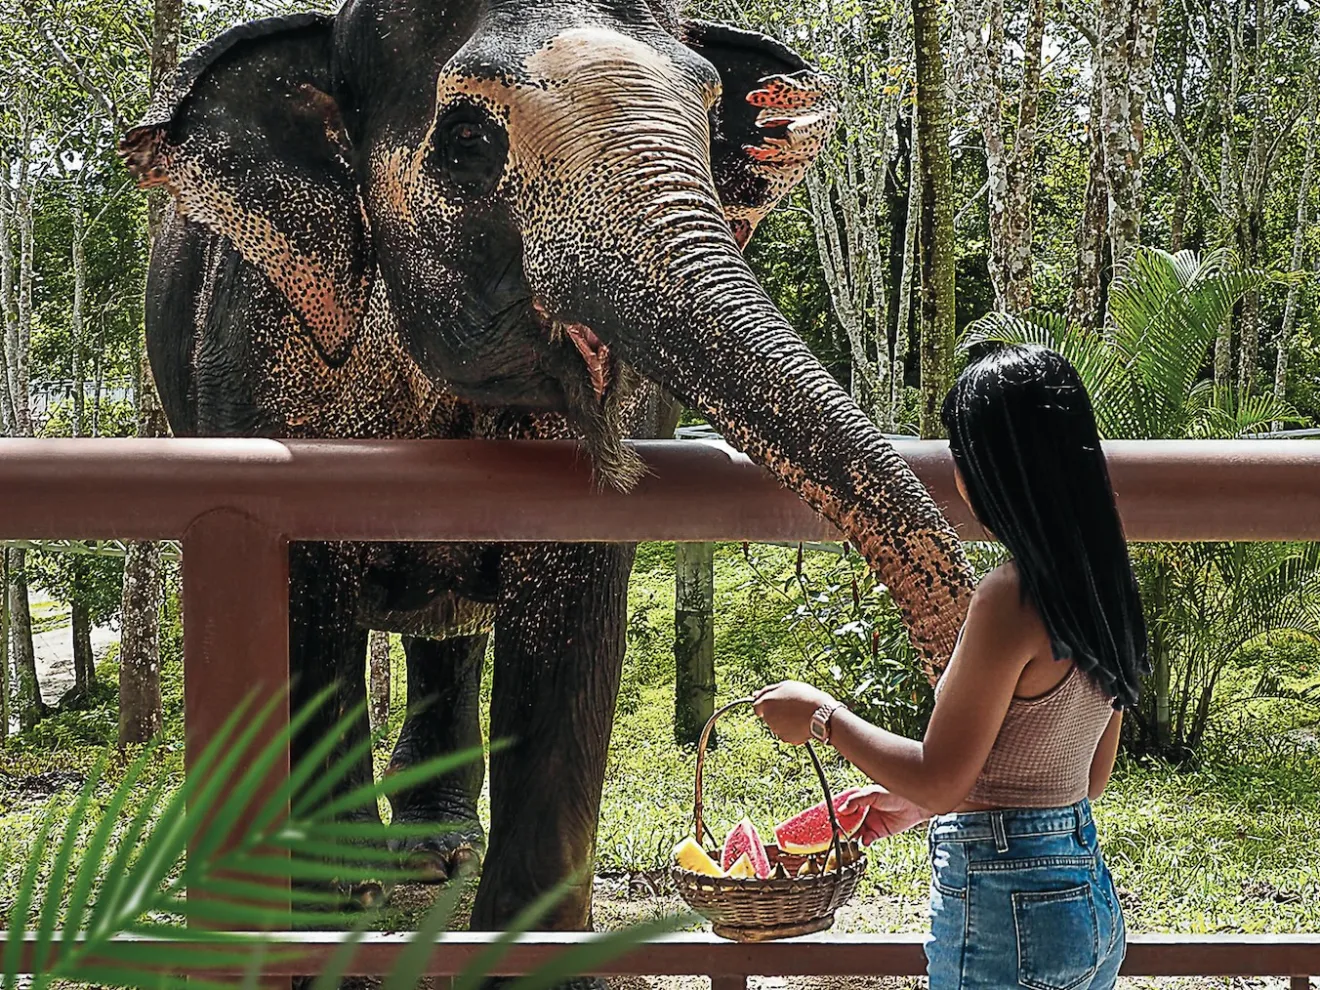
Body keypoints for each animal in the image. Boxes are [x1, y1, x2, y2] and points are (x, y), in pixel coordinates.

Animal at [119, 0, 975, 936]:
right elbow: (302, 624)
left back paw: (435, 852)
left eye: (709, 110)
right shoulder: (258, 360)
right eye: (466, 139)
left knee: (447, 633)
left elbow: (573, 618)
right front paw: (325, 908)